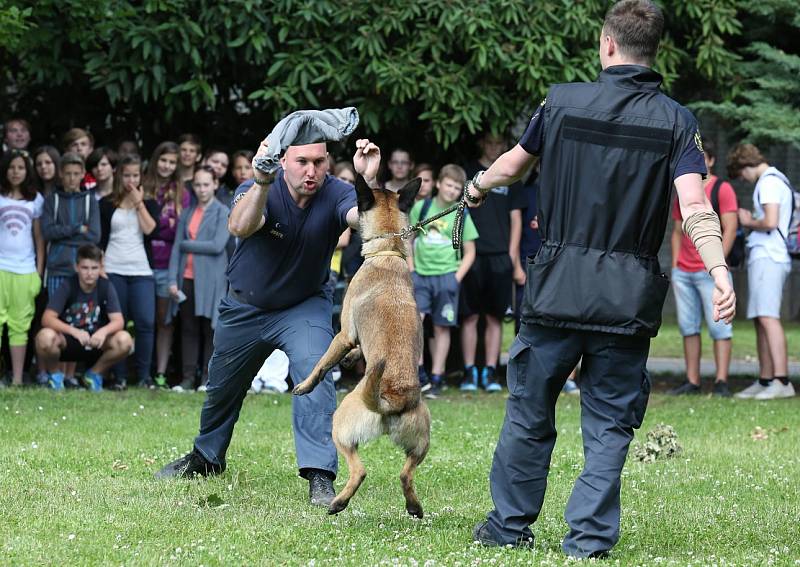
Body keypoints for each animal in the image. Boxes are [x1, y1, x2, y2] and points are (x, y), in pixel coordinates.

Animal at [294, 175, 432, 516]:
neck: (388, 251)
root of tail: (392, 398)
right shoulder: (352, 337)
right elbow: (353, 350)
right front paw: (351, 359)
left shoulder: (343, 333)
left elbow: (322, 363)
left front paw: (305, 385)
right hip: (421, 443)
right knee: (406, 474)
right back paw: (414, 507)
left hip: (340, 426)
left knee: (359, 470)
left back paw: (338, 503)